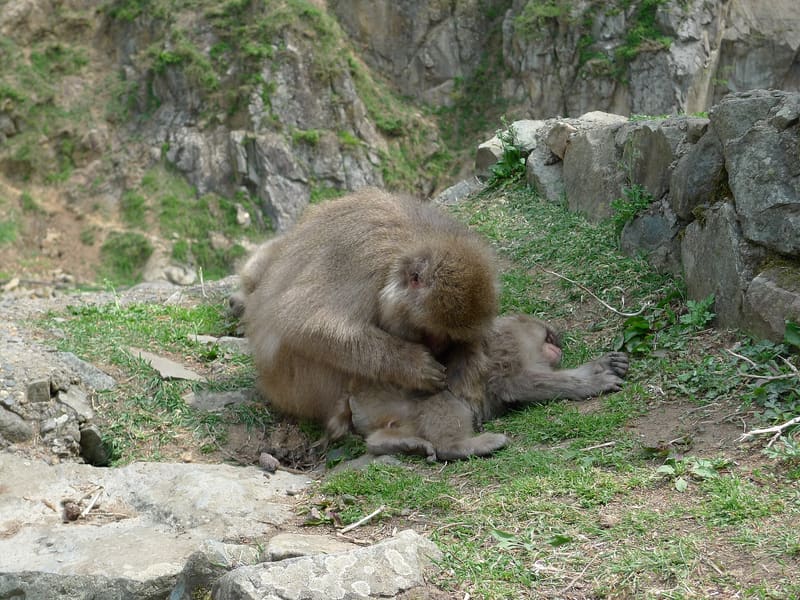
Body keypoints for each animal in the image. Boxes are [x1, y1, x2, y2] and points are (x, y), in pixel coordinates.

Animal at [236, 187, 499, 440]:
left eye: (450, 338)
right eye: (428, 331)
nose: (439, 347)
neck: (414, 242)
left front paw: (467, 392)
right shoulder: (365, 262)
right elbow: (300, 320)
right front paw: (412, 364)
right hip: (293, 388)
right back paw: (345, 416)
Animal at [348, 314, 629, 461]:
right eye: (549, 337)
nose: (557, 345)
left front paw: (602, 364)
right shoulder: (508, 348)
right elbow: (515, 383)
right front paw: (594, 382)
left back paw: (397, 444)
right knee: (440, 397)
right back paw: (459, 446)